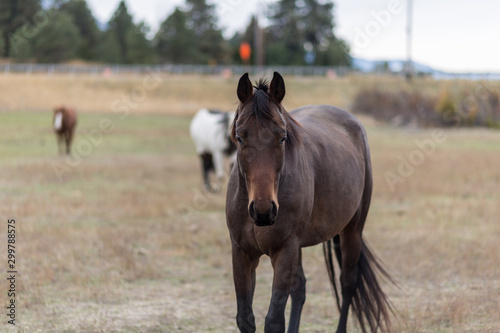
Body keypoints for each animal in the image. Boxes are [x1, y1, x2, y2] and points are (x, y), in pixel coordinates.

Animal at [227, 71, 394, 330]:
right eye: (239, 137)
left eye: (282, 137)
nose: (264, 210)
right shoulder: (241, 253)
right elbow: (245, 318)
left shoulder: (285, 251)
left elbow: (274, 320)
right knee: (301, 290)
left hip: (352, 231)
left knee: (348, 284)